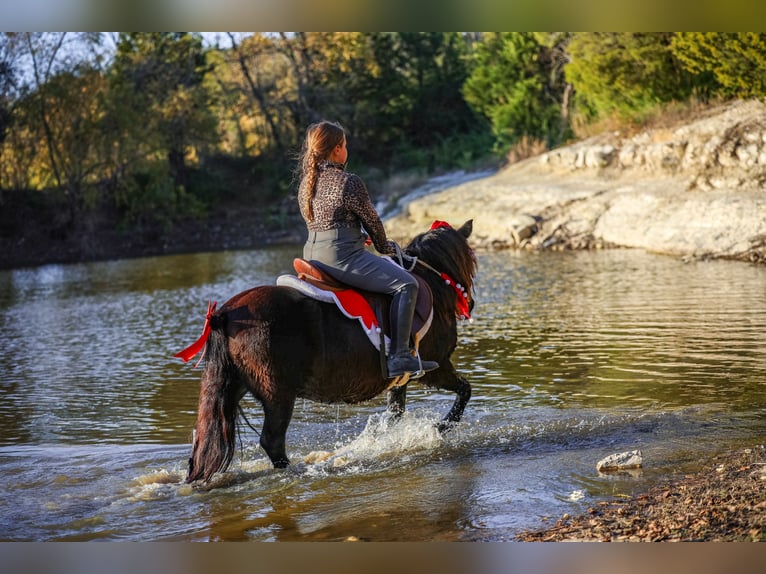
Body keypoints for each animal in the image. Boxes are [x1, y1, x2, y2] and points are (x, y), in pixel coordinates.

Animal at [177, 219, 477, 483]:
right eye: (472, 262)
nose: (470, 304)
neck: (434, 287)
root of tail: (226, 314)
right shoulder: (435, 367)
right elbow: (465, 390)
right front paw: (441, 427)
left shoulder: (399, 379)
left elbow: (394, 416)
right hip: (278, 394)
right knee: (272, 440)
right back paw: (295, 471)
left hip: (232, 387)